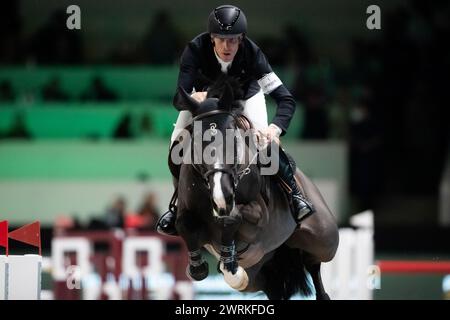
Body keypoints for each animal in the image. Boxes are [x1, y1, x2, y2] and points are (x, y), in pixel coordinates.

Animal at [171, 78, 340, 300]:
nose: (222, 198)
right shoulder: (187, 212)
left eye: (233, 140)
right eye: (197, 142)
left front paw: (229, 259)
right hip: (259, 274)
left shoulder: (259, 218)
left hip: (323, 239)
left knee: (313, 262)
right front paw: (199, 267)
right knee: (273, 286)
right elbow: (183, 223)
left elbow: (234, 217)